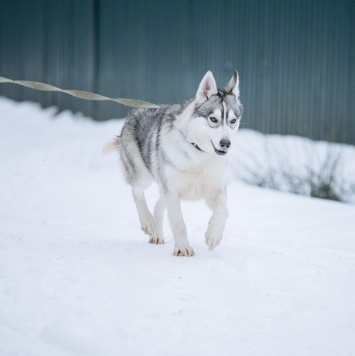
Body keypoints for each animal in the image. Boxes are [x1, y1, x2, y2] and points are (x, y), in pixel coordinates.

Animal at [112, 71, 243, 256]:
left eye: (233, 121)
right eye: (213, 119)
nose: (226, 143)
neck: (198, 153)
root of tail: (135, 110)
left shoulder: (215, 191)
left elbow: (224, 210)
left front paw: (213, 235)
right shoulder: (172, 192)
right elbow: (179, 223)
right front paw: (183, 248)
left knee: (157, 206)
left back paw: (157, 234)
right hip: (144, 176)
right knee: (136, 192)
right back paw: (148, 222)